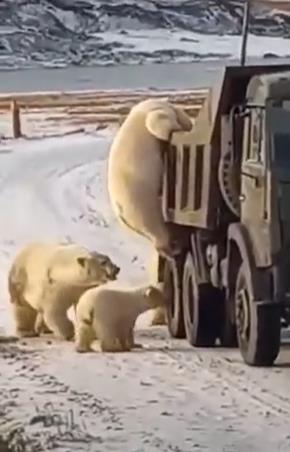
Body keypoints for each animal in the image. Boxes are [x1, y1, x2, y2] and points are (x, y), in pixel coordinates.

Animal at [106, 99, 193, 260]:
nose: (190, 124)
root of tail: (121, 214)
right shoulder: (153, 114)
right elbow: (157, 124)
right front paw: (177, 127)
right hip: (138, 202)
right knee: (155, 226)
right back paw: (173, 249)